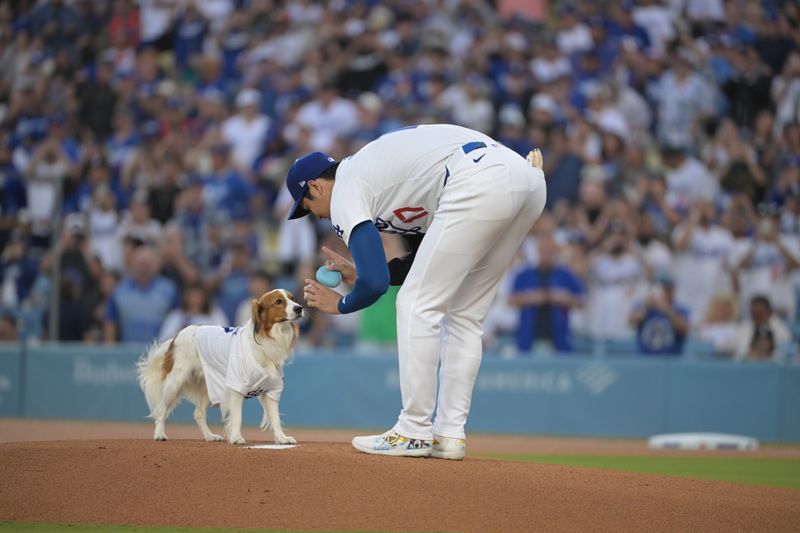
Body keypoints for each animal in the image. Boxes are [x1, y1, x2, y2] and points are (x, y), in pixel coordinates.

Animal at [138, 288, 304, 442]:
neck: (267, 339)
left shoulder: (272, 388)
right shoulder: (237, 387)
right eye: (278, 301)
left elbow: (275, 419)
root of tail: (177, 335)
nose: (299, 308)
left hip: (207, 387)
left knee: (198, 414)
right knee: (161, 411)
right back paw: (160, 434)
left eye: (293, 298)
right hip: (174, 383)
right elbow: (237, 417)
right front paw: (236, 438)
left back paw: (209, 436)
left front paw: (281, 438)